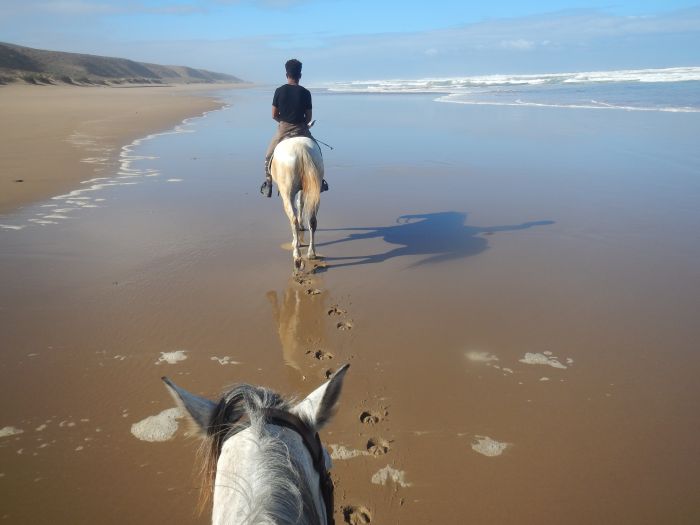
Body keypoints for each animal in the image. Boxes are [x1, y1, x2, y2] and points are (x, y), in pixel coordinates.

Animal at [270, 135, 324, 270]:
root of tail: (301, 149)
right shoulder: (304, 188)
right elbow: (301, 203)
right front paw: (301, 226)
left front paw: (297, 240)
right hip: (314, 191)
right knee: (312, 220)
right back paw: (311, 253)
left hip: (287, 194)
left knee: (292, 219)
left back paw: (297, 256)